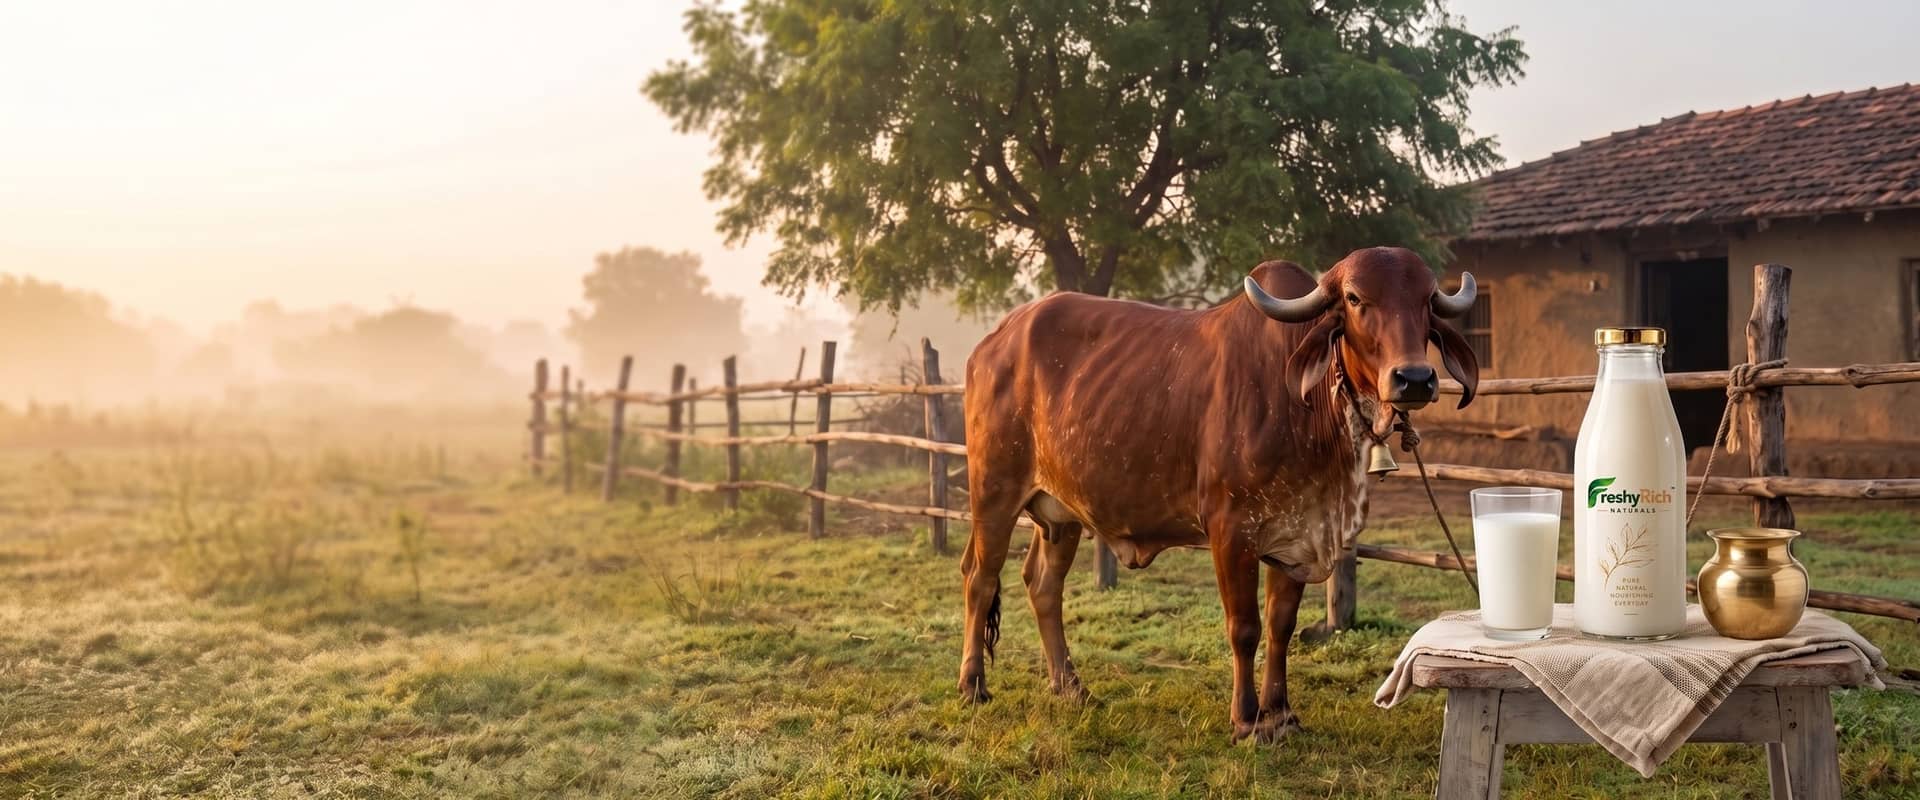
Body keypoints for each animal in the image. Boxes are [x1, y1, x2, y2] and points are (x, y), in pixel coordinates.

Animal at [957, 246, 1479, 742]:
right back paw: (973, 685)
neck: (1309, 412)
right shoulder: (1232, 533)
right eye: (1354, 299)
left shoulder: (1295, 535)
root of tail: (995, 339)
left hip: (1061, 513)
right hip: (994, 491)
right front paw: (1247, 719)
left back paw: (1070, 687)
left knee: (1044, 585)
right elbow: (1244, 628)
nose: (1414, 378)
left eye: (1427, 300)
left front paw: (1281, 713)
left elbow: (1280, 625)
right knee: (980, 579)